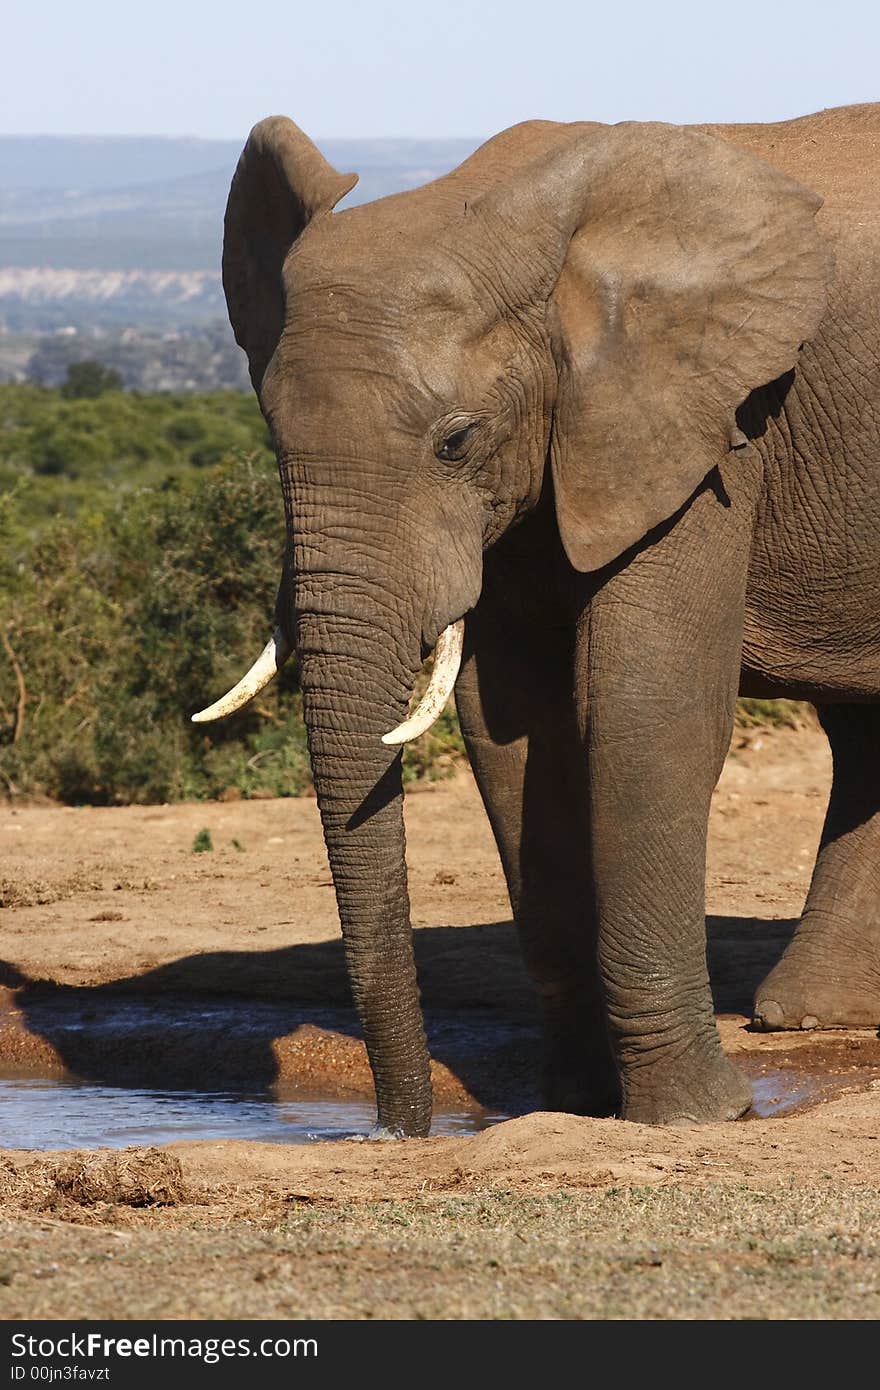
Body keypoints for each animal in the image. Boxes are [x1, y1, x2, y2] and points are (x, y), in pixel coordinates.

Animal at [196, 102, 878, 1134]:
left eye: (455, 442)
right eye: (274, 439)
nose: (401, 1131)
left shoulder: (711, 430)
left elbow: (647, 714)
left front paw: (699, 1116)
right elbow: (514, 731)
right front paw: (576, 1106)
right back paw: (811, 1016)